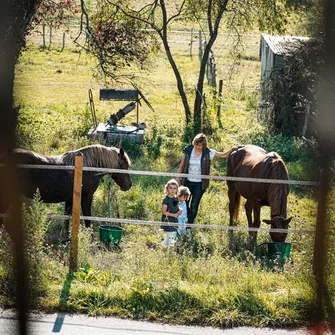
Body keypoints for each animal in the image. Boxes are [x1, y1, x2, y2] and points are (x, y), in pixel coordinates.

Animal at [0, 145, 133, 236]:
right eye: (125, 166)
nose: (129, 185)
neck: (86, 168)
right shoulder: (86, 198)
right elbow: (87, 219)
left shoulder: (70, 199)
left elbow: (67, 218)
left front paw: (66, 238)